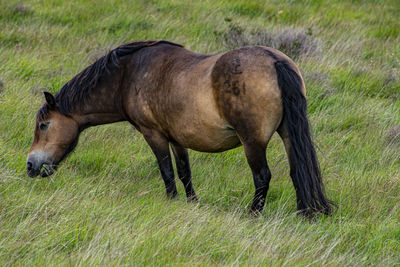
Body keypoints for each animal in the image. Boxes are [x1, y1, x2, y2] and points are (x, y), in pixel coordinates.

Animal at [27, 40, 332, 217]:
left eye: (44, 125)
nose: (31, 166)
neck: (128, 75)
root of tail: (275, 61)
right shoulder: (177, 138)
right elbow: (185, 172)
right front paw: (191, 203)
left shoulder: (154, 134)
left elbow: (166, 172)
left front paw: (171, 201)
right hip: (288, 134)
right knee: (298, 171)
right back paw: (305, 213)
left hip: (253, 142)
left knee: (262, 177)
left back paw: (252, 214)